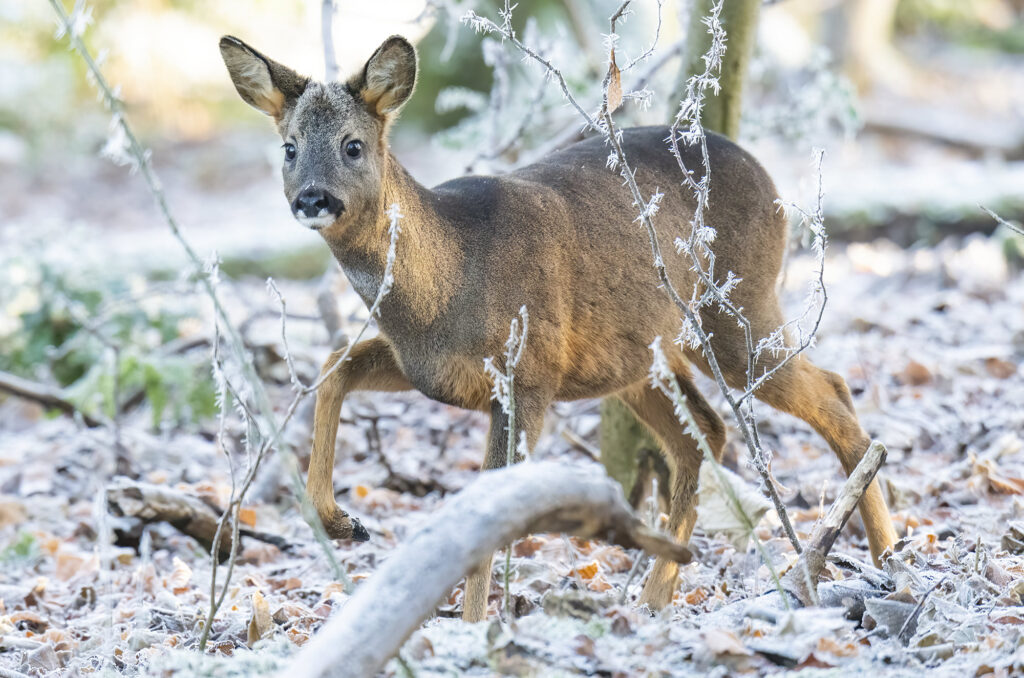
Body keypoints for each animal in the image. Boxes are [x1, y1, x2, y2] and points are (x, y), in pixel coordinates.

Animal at [222, 35, 897, 622]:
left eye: (353, 144)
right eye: (288, 147)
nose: (312, 198)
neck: (449, 277)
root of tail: (770, 177)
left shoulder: (529, 374)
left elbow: (489, 505)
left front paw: (474, 628)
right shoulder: (428, 368)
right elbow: (335, 367)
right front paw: (340, 521)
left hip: (738, 307)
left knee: (831, 388)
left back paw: (888, 556)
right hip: (639, 354)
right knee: (706, 430)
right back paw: (654, 601)